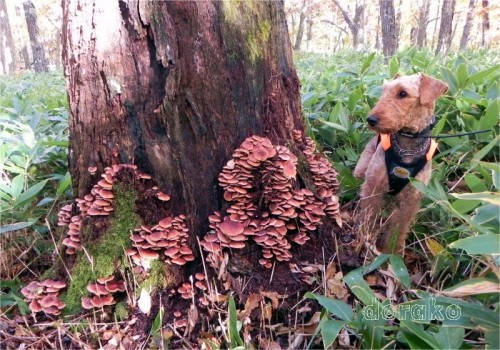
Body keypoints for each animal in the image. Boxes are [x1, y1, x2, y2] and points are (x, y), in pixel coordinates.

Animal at [354, 74, 448, 254]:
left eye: (402, 93)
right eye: (384, 90)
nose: (371, 120)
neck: (407, 147)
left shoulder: (410, 200)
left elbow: (399, 228)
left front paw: (392, 252)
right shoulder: (373, 186)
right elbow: (369, 213)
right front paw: (365, 236)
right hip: (361, 168)